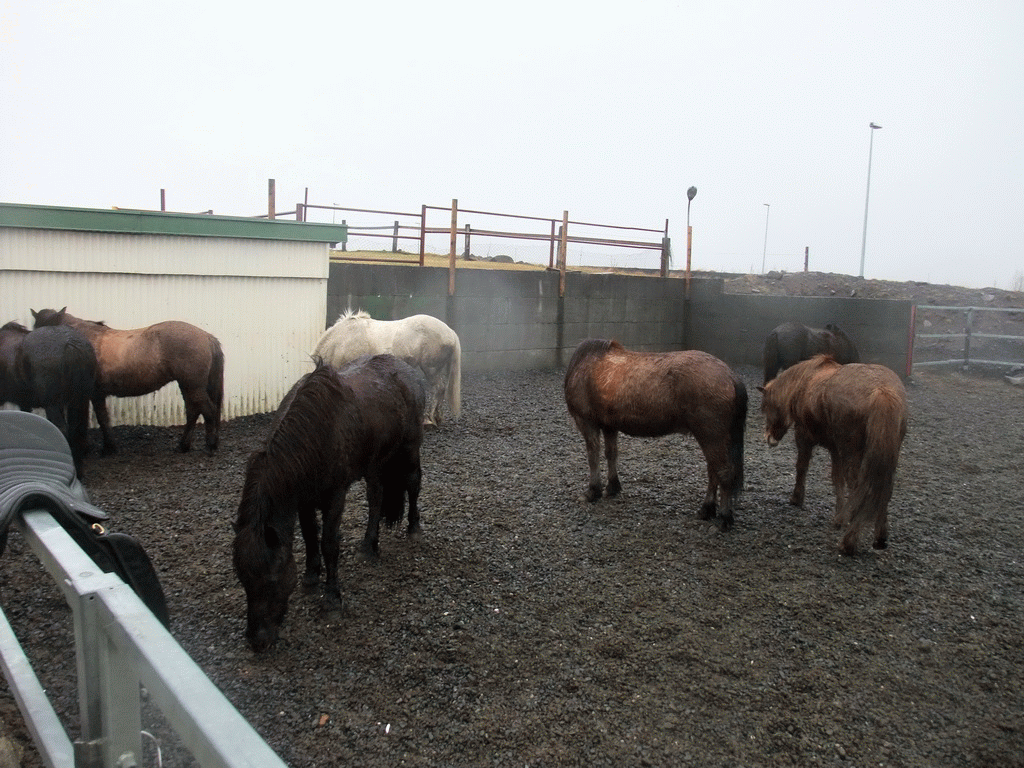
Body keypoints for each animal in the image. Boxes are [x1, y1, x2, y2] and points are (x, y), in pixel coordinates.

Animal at [0, 321, 96, 479]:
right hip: (79, 400)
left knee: (62, 430)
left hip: (52, 403)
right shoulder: (25, 402)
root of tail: (70, 344)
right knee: (77, 429)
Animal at [30, 307, 223, 454]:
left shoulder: (91, 394)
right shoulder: (97, 394)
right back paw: (184, 446)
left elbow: (99, 419)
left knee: (208, 411)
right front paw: (109, 447)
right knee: (193, 412)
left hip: (193, 387)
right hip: (188, 386)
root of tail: (206, 336)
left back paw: (210, 445)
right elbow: (103, 418)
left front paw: (106, 448)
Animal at [232, 358, 423, 651]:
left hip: (410, 448)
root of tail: (405, 367)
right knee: (376, 498)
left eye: (272, 579)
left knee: (413, 484)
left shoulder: (335, 497)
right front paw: (311, 577)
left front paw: (332, 598)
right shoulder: (303, 500)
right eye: (243, 580)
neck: (315, 433)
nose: (257, 641)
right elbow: (311, 536)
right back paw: (369, 546)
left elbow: (329, 544)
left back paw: (414, 528)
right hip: (374, 463)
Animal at [565, 339, 749, 532]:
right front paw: (612, 487)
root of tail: (731, 376)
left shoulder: (587, 422)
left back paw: (724, 517)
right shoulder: (609, 426)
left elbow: (593, 456)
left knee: (724, 471)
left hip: (712, 436)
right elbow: (611, 454)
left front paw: (593, 491)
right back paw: (706, 509)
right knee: (713, 471)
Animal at [761, 354, 905, 552]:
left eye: (767, 407)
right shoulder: (836, 449)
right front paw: (839, 515)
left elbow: (802, 467)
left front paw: (797, 498)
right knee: (883, 487)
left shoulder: (804, 437)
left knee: (859, 485)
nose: (769, 438)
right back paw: (879, 538)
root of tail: (881, 391)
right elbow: (837, 479)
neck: (805, 382)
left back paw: (849, 541)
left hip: (852, 451)